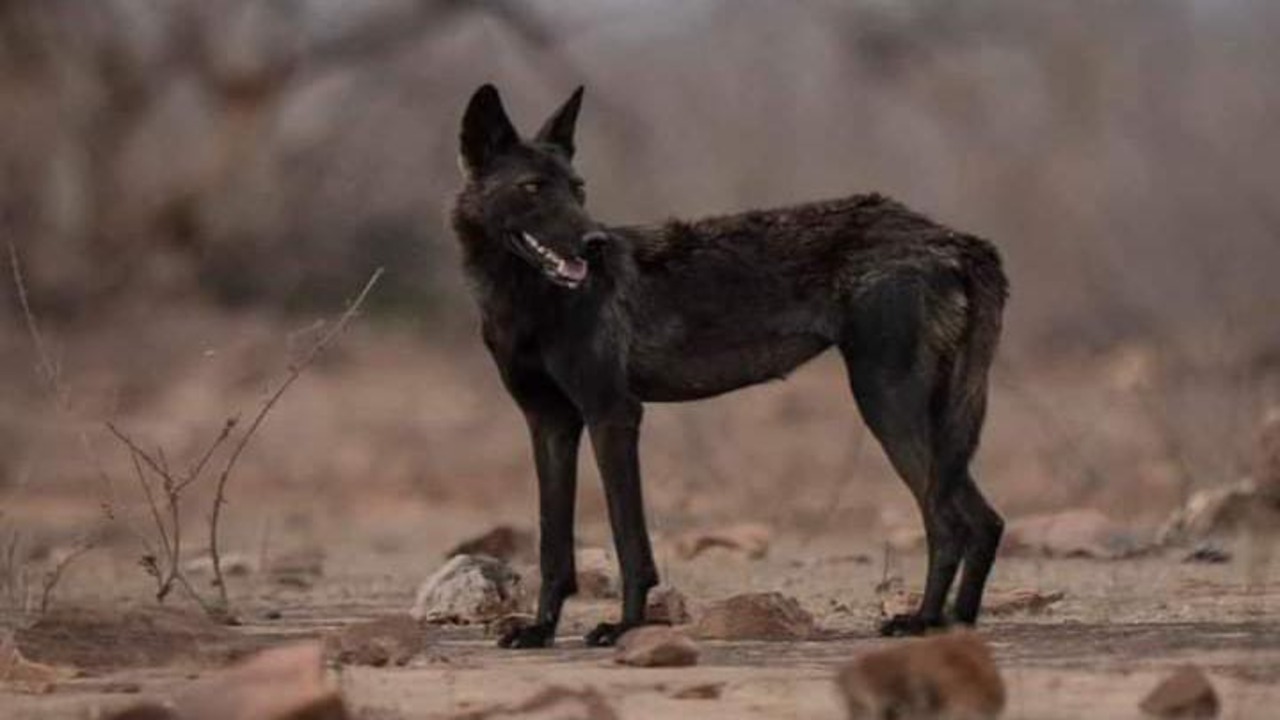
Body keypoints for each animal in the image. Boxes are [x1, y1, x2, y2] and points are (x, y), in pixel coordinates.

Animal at [450, 83, 1008, 645]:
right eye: (532, 187)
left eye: (577, 190)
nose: (596, 244)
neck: (528, 302)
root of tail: (957, 240)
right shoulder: (551, 425)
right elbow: (552, 547)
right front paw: (540, 630)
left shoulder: (613, 415)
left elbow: (629, 541)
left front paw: (626, 626)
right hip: (925, 421)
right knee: (984, 521)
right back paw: (957, 622)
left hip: (886, 406)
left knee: (947, 521)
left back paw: (923, 621)